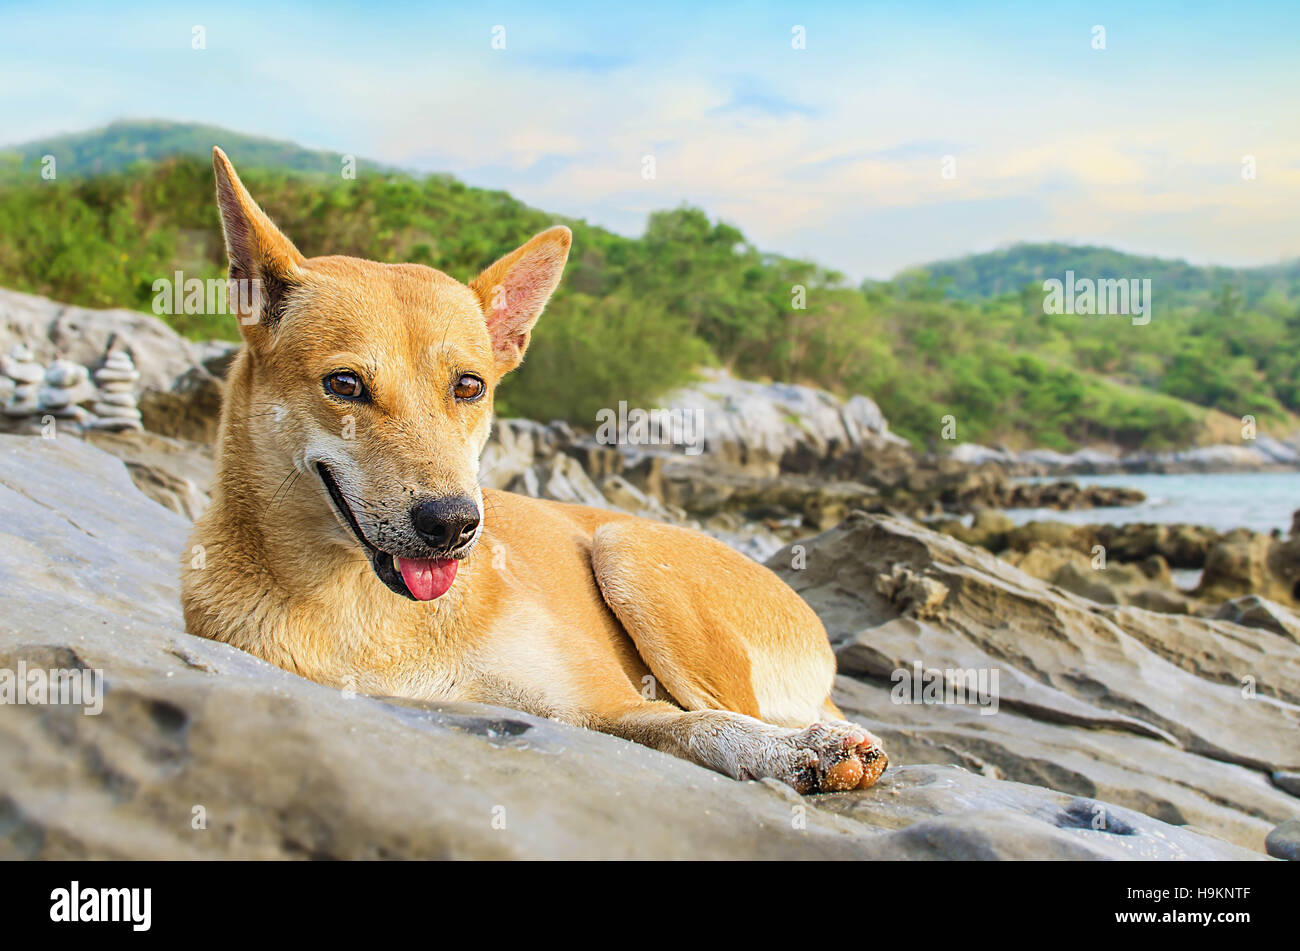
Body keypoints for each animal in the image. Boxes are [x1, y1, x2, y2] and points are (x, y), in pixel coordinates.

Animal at [183, 144, 889, 789]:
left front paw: (797, 751)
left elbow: (709, 725)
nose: (453, 524)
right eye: (345, 384)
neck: (366, 605)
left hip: (625, 547)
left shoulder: (608, 705)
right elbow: (700, 728)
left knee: (734, 705)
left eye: (469, 386)